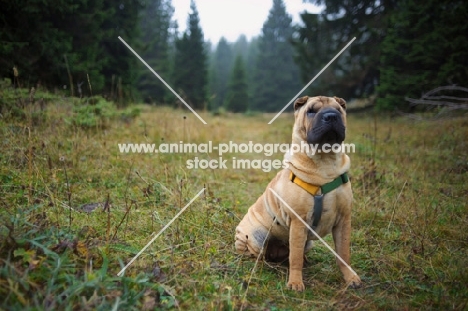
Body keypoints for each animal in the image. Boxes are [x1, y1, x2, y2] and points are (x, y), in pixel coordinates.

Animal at [234, 95, 362, 292]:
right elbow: (294, 258)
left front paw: (350, 277)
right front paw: (295, 282)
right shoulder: (298, 221)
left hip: (308, 242)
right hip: (255, 237)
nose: (331, 116)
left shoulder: (343, 220)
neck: (324, 164)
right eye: (311, 111)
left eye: (339, 110)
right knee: (259, 253)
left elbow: (343, 253)